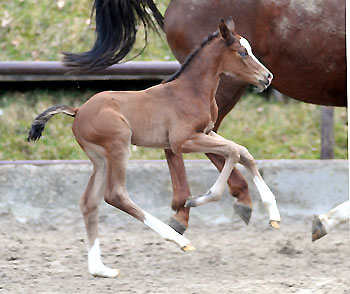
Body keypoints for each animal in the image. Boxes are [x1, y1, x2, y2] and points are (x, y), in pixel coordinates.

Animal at [27, 19, 280, 278]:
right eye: (242, 52)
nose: (267, 76)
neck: (191, 91)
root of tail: (77, 111)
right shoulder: (182, 141)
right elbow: (233, 152)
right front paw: (197, 200)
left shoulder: (207, 133)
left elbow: (243, 152)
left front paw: (273, 215)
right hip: (119, 145)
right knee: (115, 194)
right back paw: (178, 240)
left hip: (100, 159)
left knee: (89, 202)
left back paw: (100, 269)